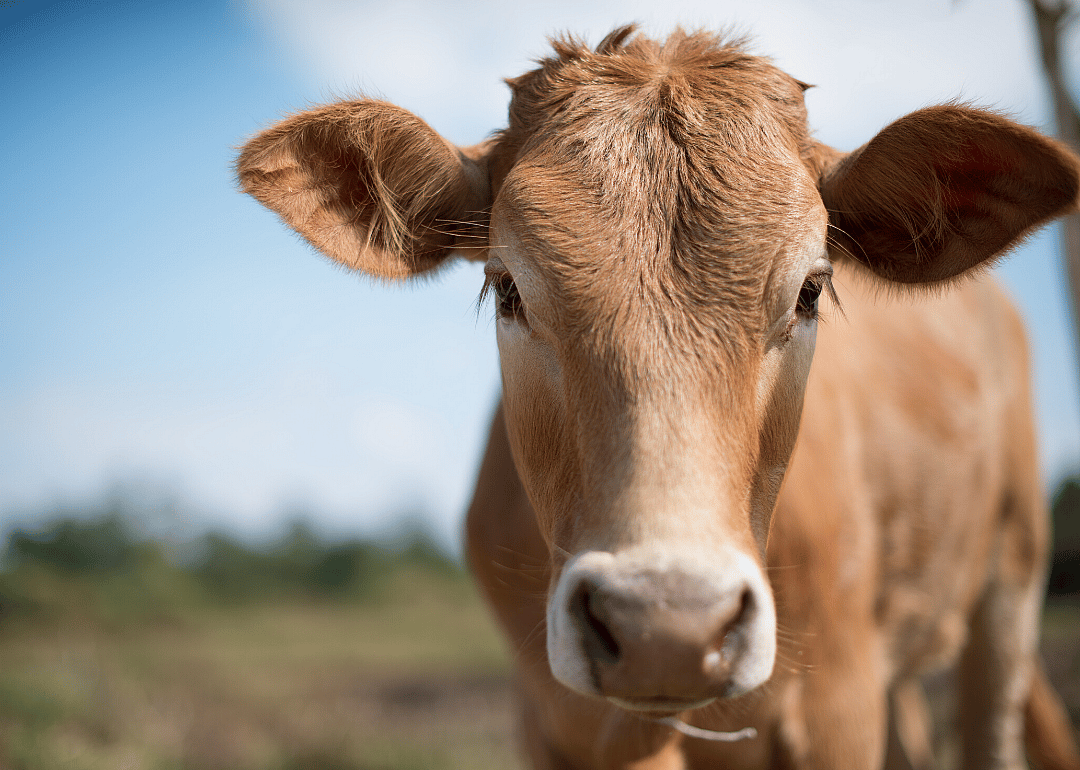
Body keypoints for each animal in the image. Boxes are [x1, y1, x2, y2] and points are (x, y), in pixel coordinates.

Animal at [237, 26, 1080, 770]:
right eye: (507, 289)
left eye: (811, 290)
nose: (665, 628)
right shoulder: (549, 721)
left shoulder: (839, 707)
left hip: (1010, 580)